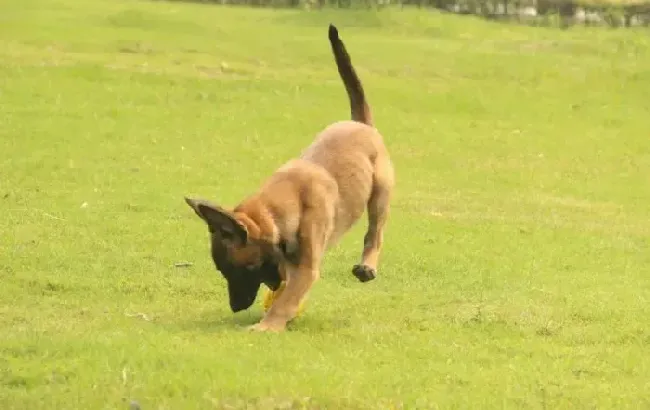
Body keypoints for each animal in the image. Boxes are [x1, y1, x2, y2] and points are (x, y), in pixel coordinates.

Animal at [185, 23, 392, 334]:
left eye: (241, 269)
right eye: (223, 271)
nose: (235, 307)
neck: (278, 207)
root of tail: (360, 123)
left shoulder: (305, 267)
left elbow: (288, 298)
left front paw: (267, 325)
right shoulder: (288, 262)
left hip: (380, 195)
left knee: (374, 233)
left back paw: (367, 265)